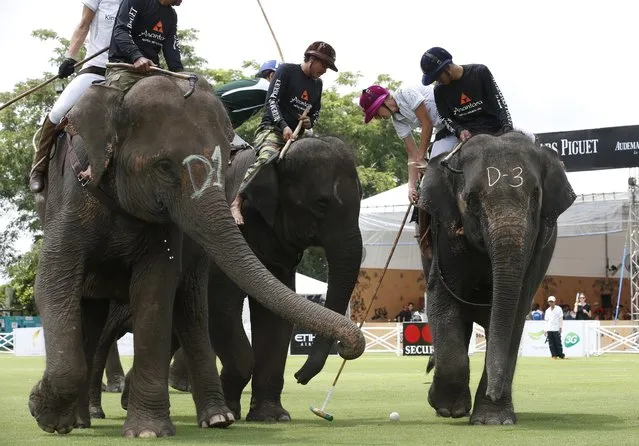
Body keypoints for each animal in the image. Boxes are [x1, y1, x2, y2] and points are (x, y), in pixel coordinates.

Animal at [418, 132, 576, 426]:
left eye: (536, 197)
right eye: (471, 200)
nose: (494, 391)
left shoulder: (538, 248)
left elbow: (515, 311)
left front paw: (493, 420)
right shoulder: (444, 235)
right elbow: (441, 301)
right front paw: (447, 408)